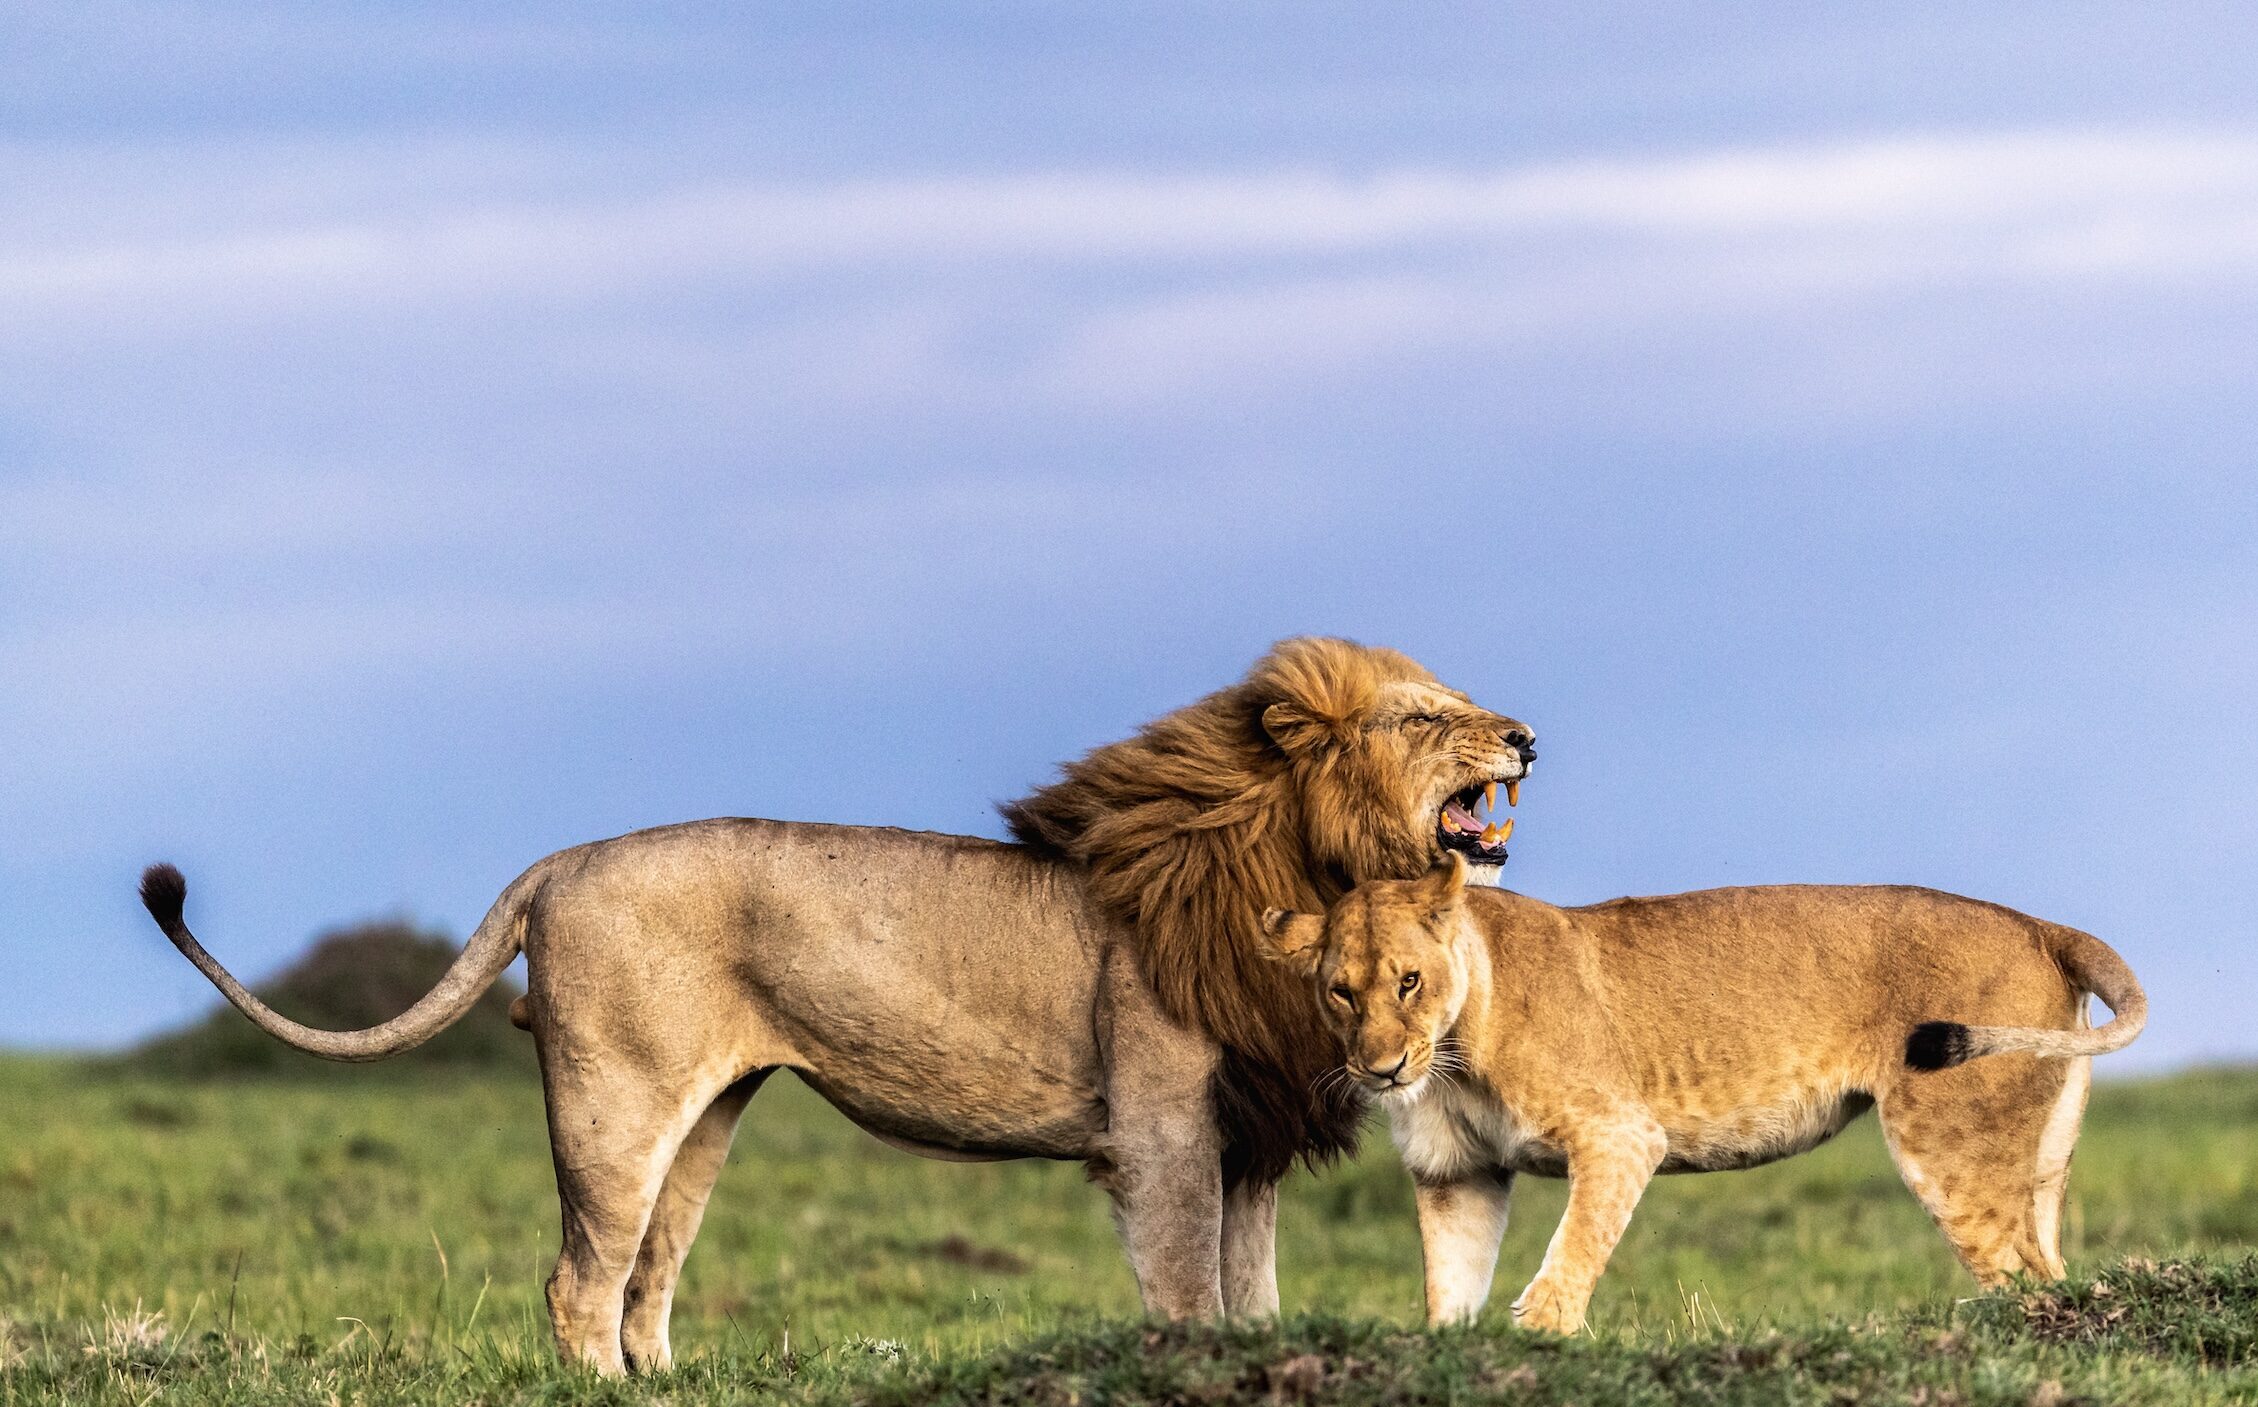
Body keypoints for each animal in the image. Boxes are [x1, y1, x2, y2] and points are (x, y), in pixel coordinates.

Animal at [141, 641, 1535, 1373]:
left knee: (650, 1268)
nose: (1524, 736)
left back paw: (663, 1389)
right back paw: (597, 1389)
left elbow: (1250, 1292)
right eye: (1429, 716)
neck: (1297, 876)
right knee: (580, 1278)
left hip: (704, 1116)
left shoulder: (1246, 1132)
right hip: (612, 1100)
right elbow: (1189, 1285)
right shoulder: (1163, 1130)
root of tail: (558, 860)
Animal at [1264, 853, 2140, 1336]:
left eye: (1409, 980)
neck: (1448, 1056)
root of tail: (2040, 923)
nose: (1381, 1069)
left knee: (2023, 1277)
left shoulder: (1619, 1133)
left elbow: (1567, 1259)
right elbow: (1449, 1289)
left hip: (1950, 1144)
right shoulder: (1456, 1175)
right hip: (2040, 1158)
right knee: (2054, 1265)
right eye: (1340, 992)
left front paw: (1545, 1338)